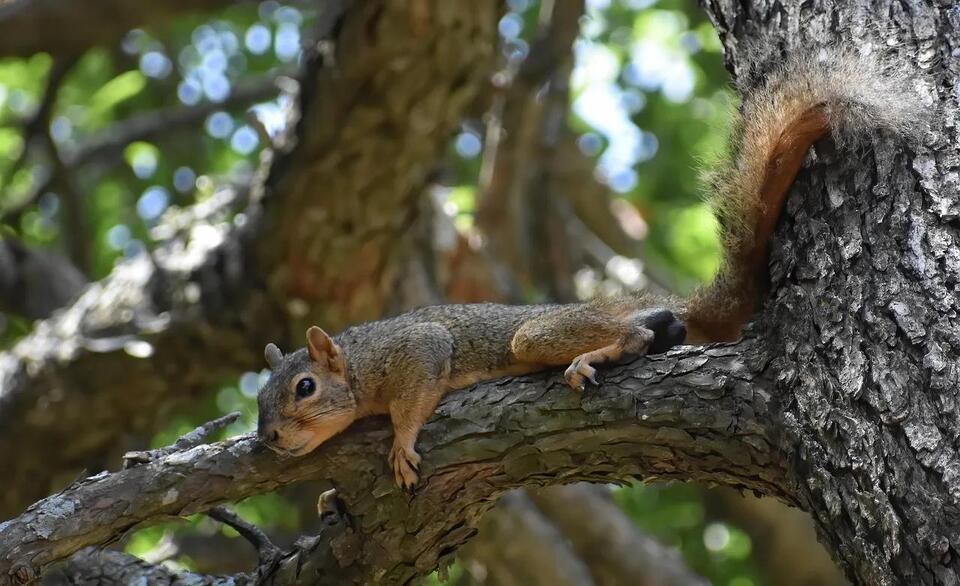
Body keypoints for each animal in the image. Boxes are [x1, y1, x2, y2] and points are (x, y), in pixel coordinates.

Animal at [256, 51, 921, 489]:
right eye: (260, 397)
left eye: (304, 388)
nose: (268, 439)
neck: (360, 364)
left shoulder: (415, 351)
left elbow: (414, 398)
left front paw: (400, 443)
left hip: (541, 333)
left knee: (628, 333)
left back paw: (600, 353)